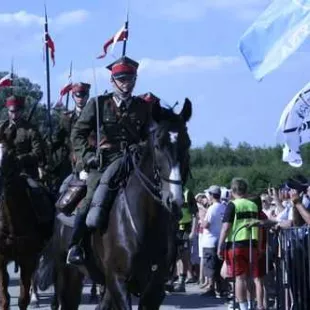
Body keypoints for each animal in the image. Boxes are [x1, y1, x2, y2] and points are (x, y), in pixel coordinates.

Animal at [0, 135, 47, 308]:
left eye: (10, 156)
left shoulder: (29, 257)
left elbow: (23, 299)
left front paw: (32, 298)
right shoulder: (1, 258)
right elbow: (5, 299)